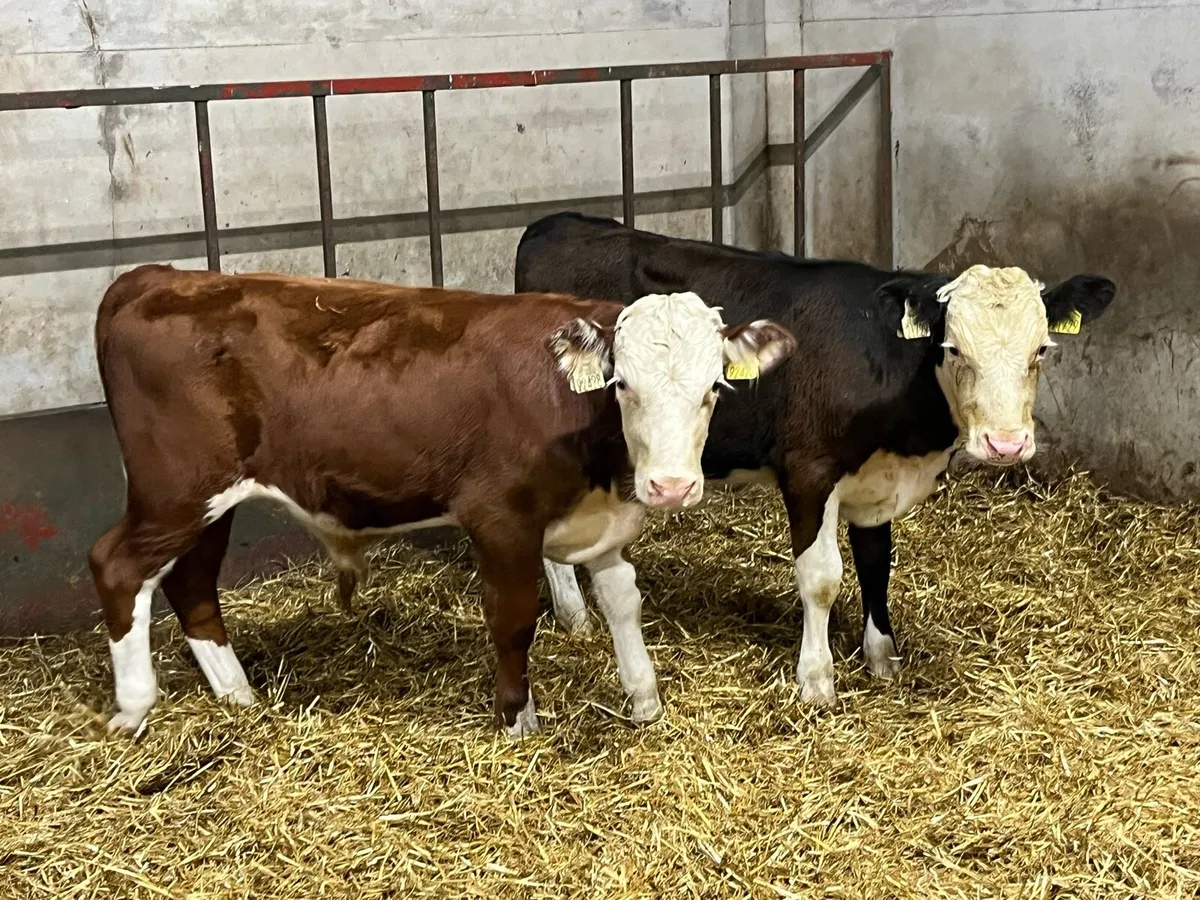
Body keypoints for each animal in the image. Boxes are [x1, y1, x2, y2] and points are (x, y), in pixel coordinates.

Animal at [89, 265, 796, 737]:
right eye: (623, 384)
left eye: (713, 388)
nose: (670, 487)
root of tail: (154, 276)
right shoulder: (500, 518)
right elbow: (513, 619)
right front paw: (517, 721)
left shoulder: (602, 520)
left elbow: (624, 602)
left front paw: (644, 700)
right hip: (175, 488)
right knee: (117, 566)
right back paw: (135, 708)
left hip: (207, 501)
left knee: (192, 584)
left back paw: (240, 697)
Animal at [515, 211, 1116, 705]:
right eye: (953, 349)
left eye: (1042, 350)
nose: (1006, 444)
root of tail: (556, 221)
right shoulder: (808, 472)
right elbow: (822, 577)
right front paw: (817, 680)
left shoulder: (877, 482)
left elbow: (876, 563)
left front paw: (882, 657)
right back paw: (573, 613)